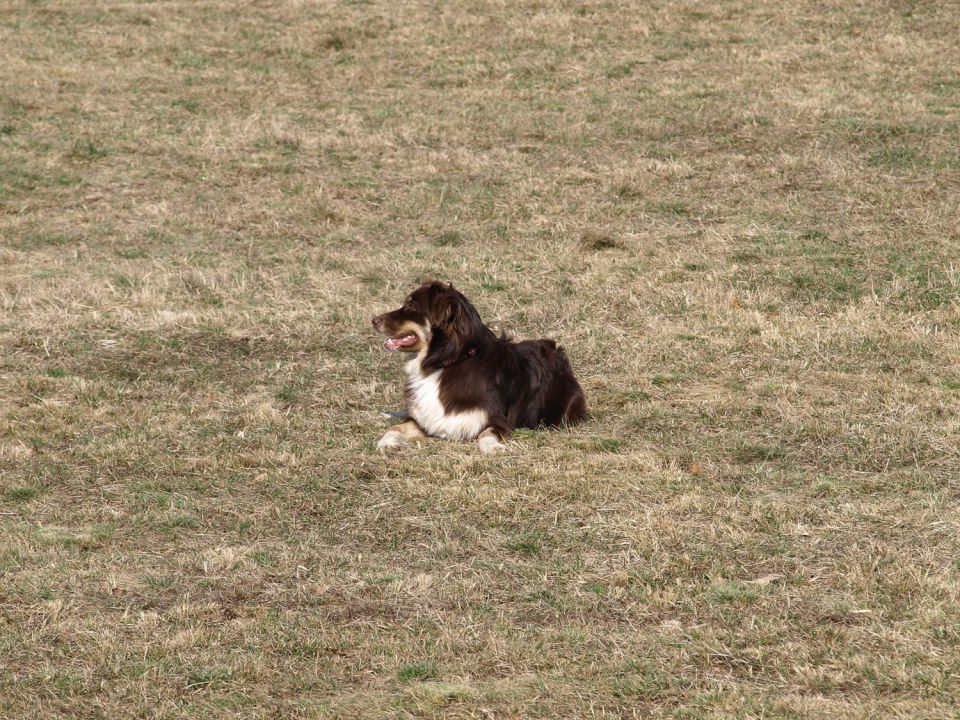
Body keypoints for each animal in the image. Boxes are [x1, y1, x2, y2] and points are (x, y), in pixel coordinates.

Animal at [374, 280, 584, 452]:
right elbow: (396, 427)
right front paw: (386, 442)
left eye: (411, 305)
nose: (373, 320)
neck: (448, 361)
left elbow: (486, 434)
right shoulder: (426, 419)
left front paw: (493, 448)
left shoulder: (496, 420)